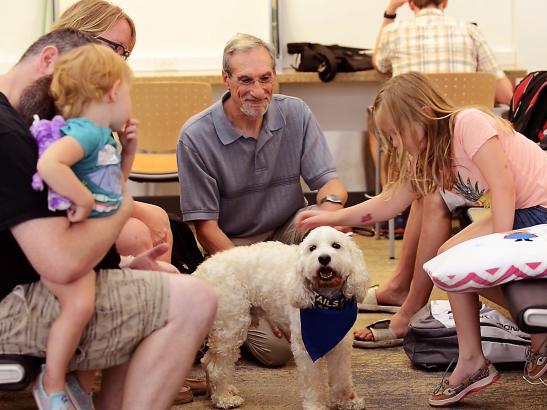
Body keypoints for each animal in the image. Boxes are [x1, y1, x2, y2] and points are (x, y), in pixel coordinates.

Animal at [195, 226, 370, 408]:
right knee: (215, 366)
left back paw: (218, 392)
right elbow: (313, 383)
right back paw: (223, 398)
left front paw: (348, 401)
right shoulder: (305, 347)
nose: (323, 258)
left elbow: (342, 377)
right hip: (231, 327)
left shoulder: (341, 344)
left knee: (207, 361)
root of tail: (202, 270)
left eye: (336, 245)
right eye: (312, 248)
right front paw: (315, 405)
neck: (326, 301)